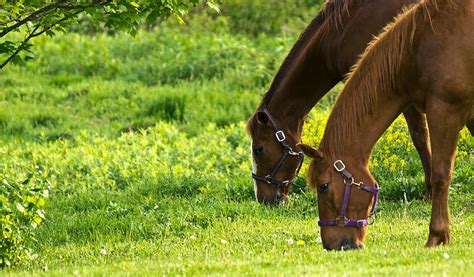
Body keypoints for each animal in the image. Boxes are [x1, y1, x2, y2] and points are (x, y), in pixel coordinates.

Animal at [300, 0, 474, 249]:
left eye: (323, 186)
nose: (332, 245)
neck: (417, 46)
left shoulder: (444, 111)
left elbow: (441, 175)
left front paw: (436, 235)